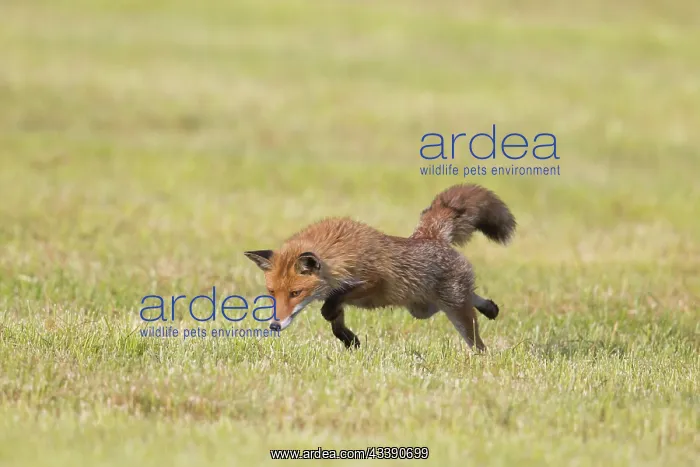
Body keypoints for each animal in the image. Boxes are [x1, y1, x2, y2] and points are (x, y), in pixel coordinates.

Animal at [243, 183, 516, 352]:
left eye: (295, 293)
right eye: (272, 293)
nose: (274, 326)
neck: (339, 255)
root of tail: (429, 236)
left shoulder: (373, 283)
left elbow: (329, 307)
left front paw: (345, 334)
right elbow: (335, 319)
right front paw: (350, 340)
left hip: (454, 311)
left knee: (478, 342)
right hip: (422, 308)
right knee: (470, 296)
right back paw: (490, 308)